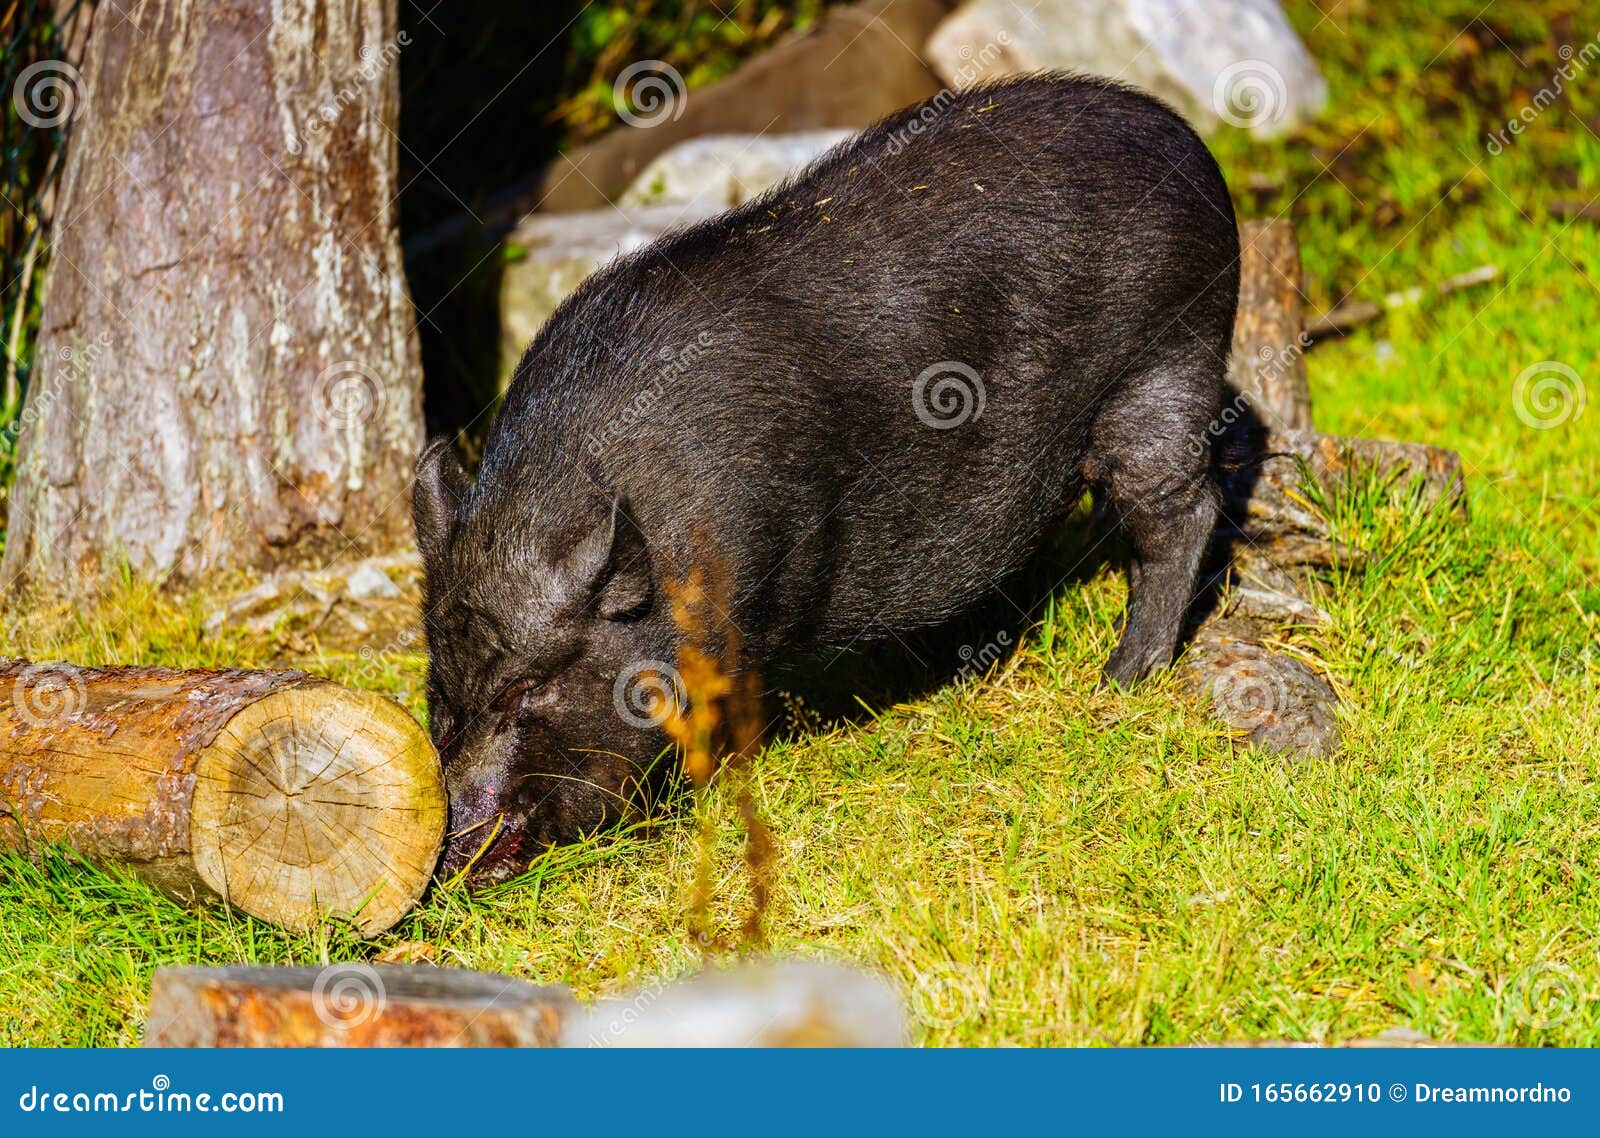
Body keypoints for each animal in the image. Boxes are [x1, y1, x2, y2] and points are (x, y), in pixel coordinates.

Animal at [415, 73, 1240, 883]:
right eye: (441, 681)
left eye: (527, 688)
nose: (452, 844)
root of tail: (1185, 140)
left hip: (1167, 361)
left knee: (1183, 512)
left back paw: (1122, 679)